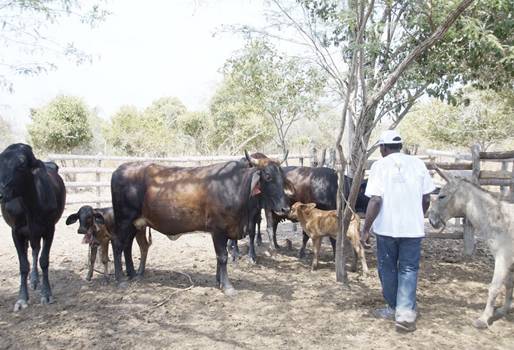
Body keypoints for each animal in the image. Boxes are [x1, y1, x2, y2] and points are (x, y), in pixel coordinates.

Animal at [0, 144, 65, 314]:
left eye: (22, 165)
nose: (1, 192)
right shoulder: (16, 231)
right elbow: (23, 265)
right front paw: (22, 298)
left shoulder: (49, 229)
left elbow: (44, 260)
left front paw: (46, 293)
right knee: (30, 251)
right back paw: (32, 280)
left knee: (36, 251)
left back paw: (35, 279)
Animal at [109, 152, 290, 294]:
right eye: (267, 176)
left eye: (282, 177)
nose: (285, 208)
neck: (234, 186)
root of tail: (120, 169)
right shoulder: (218, 229)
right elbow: (222, 256)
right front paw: (227, 286)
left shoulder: (228, 229)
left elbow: (220, 256)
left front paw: (219, 280)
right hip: (124, 219)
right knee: (118, 244)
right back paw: (120, 279)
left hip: (134, 223)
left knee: (127, 245)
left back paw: (132, 273)